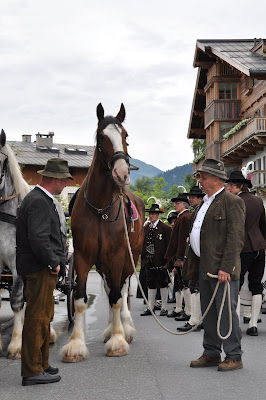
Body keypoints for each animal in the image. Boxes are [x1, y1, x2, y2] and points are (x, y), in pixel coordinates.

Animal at [61, 104, 144, 362]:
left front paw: (118, 340)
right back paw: (110, 329)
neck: (99, 208)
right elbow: (80, 299)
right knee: (109, 289)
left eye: (125, 135)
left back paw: (125, 328)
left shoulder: (117, 256)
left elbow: (118, 297)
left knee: (122, 290)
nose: (122, 173)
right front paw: (75, 344)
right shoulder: (82, 257)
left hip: (129, 258)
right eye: (101, 137)